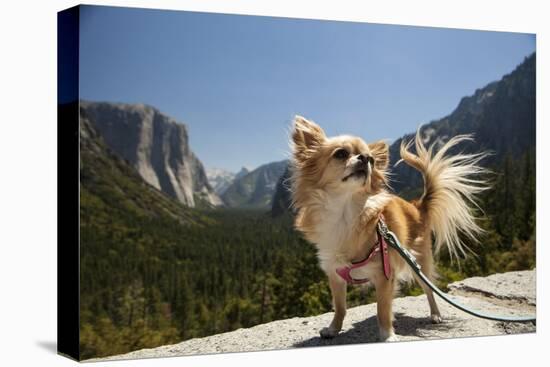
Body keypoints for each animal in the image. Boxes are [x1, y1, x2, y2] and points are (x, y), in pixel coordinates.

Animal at [288, 115, 488, 342]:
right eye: (341, 154)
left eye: (372, 160)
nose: (365, 158)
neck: (345, 213)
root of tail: (417, 206)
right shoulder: (335, 274)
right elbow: (340, 307)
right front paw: (333, 329)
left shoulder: (384, 274)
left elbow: (382, 308)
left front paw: (387, 335)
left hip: (419, 264)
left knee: (429, 291)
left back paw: (435, 315)